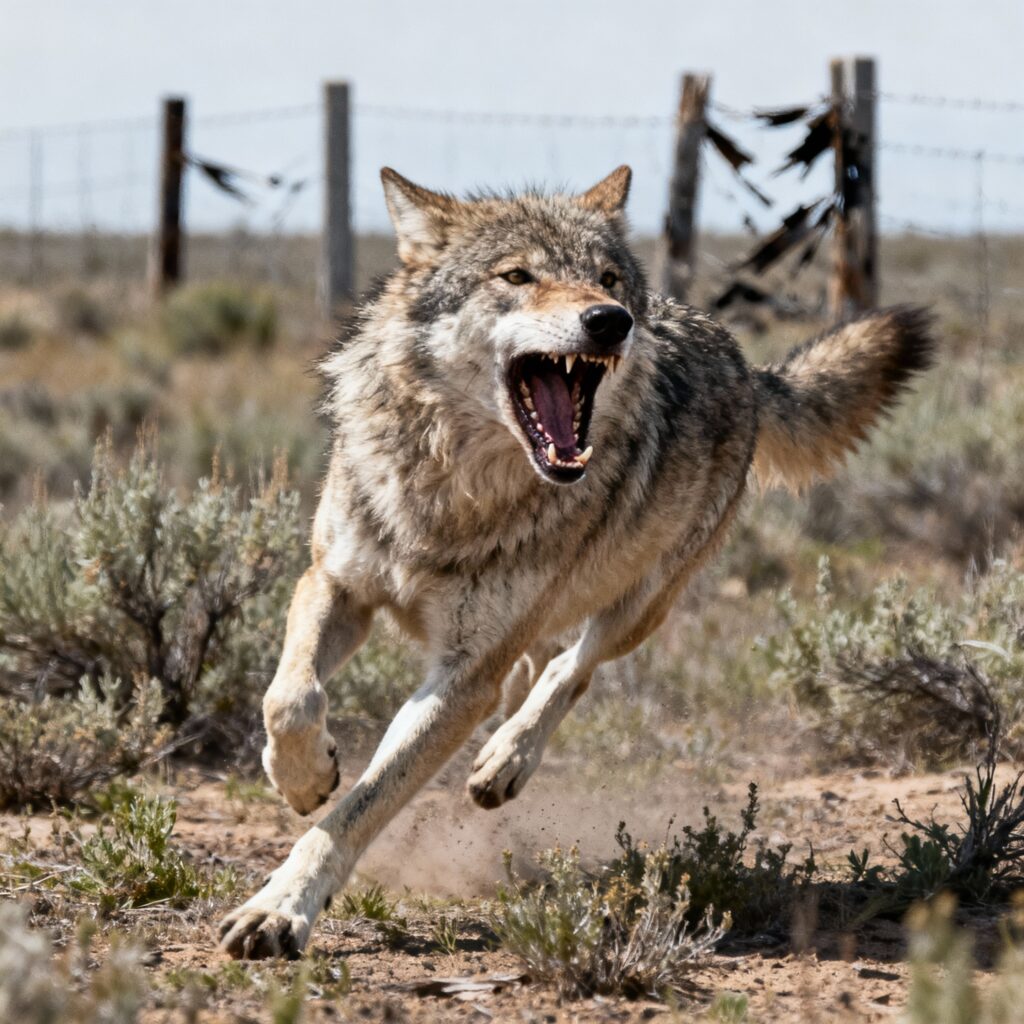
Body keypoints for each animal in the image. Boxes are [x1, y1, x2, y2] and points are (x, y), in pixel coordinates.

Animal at [217, 165, 934, 959]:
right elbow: (289, 697)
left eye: (607, 278)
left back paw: (507, 759)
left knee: (571, 668)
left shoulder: (465, 670)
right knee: (534, 663)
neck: (452, 494)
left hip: (642, 604)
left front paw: (280, 908)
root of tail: (741, 358)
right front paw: (301, 777)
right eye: (517, 276)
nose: (610, 320)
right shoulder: (336, 582)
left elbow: (361, 807)